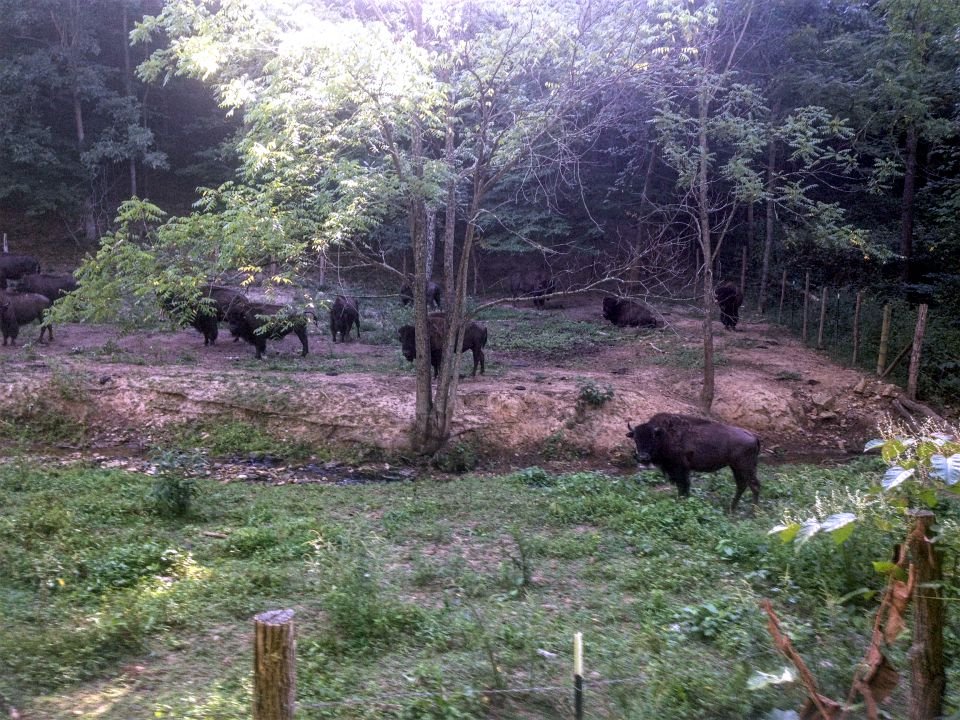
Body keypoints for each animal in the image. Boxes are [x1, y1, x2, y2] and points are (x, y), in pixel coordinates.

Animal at [626, 413, 760, 511]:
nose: (643, 457)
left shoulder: (680, 468)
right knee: (742, 485)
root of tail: (753, 436)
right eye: (635, 438)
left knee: (754, 486)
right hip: (736, 468)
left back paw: (753, 512)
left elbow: (683, 485)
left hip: (745, 468)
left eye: (652, 438)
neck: (664, 435)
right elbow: (684, 486)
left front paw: (681, 500)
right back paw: (731, 509)